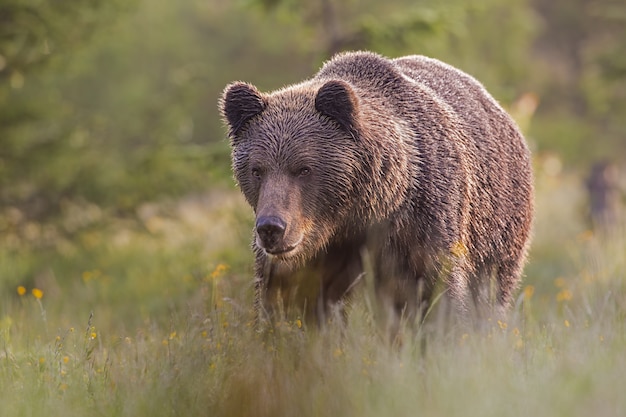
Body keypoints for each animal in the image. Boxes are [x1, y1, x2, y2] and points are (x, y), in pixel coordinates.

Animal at [219, 50, 532, 326]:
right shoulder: (313, 256)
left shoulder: (422, 221)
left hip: (497, 228)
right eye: (257, 170)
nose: (271, 228)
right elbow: (291, 302)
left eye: (304, 168)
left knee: (490, 291)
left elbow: (437, 291)